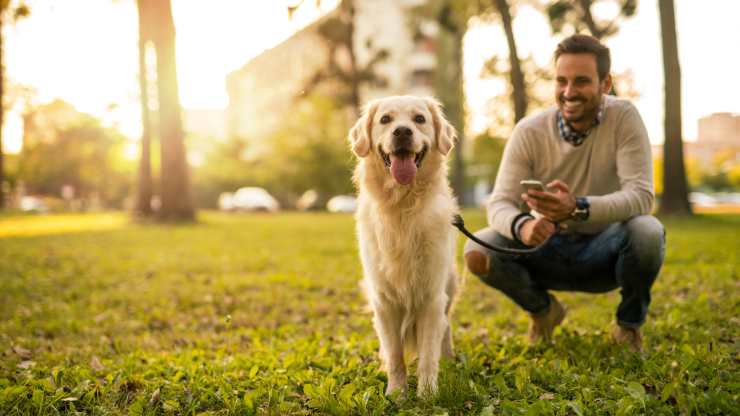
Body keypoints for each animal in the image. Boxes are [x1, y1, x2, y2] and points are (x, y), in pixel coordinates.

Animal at [346, 95, 456, 396]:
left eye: (419, 119)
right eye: (385, 119)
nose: (403, 132)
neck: (402, 205)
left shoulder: (432, 296)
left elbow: (428, 355)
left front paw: (428, 395)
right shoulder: (384, 301)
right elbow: (396, 355)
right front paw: (397, 394)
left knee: (445, 327)